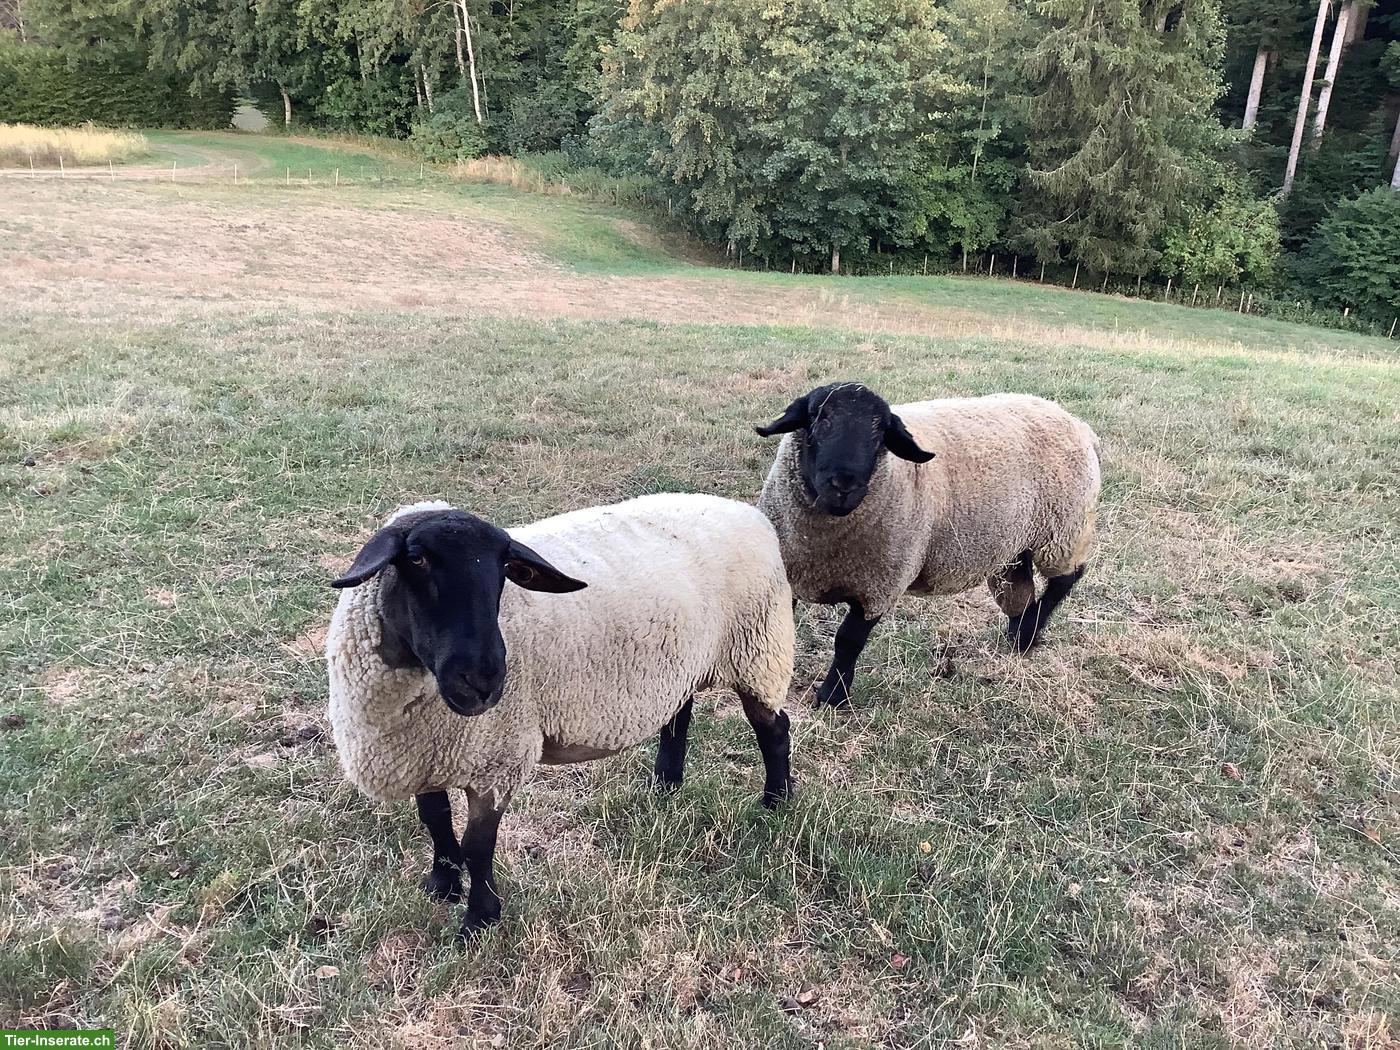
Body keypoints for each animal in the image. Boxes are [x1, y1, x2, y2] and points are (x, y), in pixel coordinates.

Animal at [325, 493, 796, 937]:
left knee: (774, 730)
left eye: (504, 566)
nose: (484, 679)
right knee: (679, 714)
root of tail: (749, 513)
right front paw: (442, 885)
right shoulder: (423, 751)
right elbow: (436, 820)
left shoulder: (498, 757)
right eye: (417, 558)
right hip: (685, 662)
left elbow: (478, 846)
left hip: (759, 649)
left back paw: (776, 801)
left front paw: (479, 919)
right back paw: (665, 784)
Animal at [755, 382, 1100, 707]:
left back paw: (1027, 634)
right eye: (818, 418)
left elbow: (848, 642)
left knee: (1066, 579)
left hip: (1063, 529)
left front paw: (832, 697)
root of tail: (1075, 421)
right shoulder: (788, 574)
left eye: (880, 433)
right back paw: (1018, 635)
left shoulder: (880, 586)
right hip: (1014, 543)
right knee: (1019, 591)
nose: (844, 485)